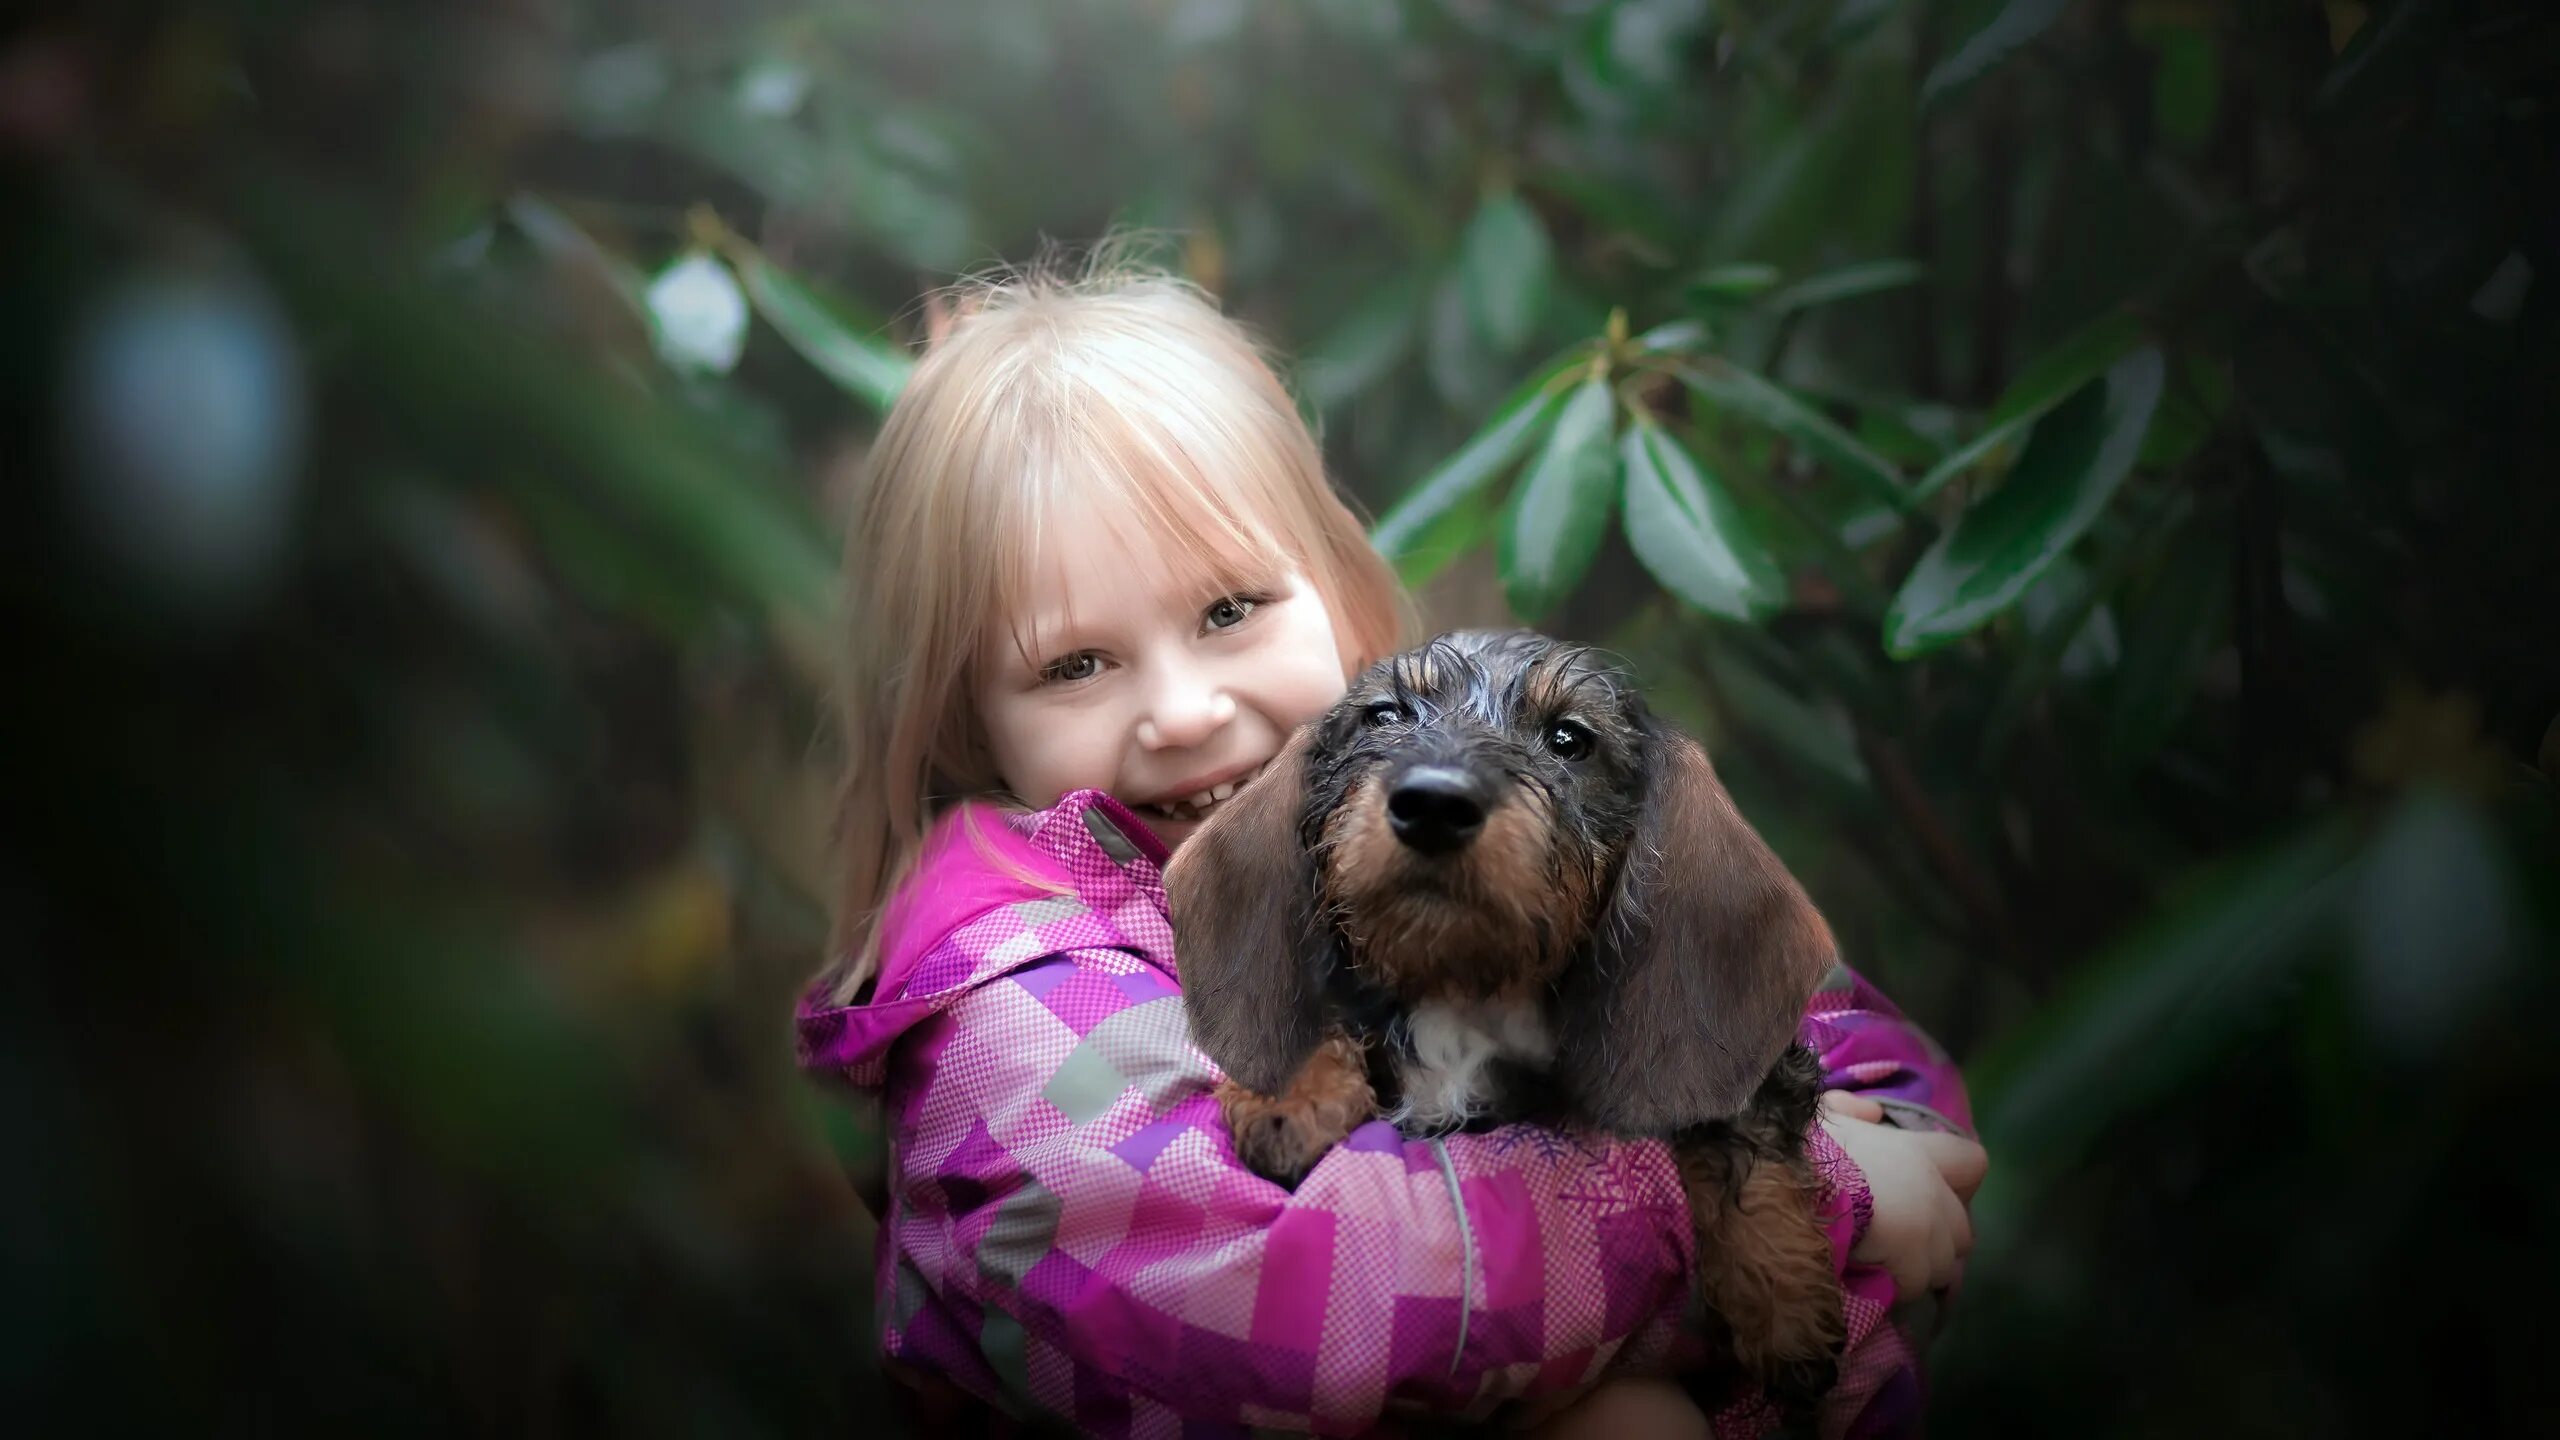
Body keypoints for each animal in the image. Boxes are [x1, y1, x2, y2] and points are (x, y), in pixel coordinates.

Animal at [1172, 625, 1853, 1404]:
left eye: (1569, 738)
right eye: (1385, 715)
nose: (1433, 806)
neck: (1465, 990)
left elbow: (1743, 1141)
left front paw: (1784, 1301)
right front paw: (1291, 1093)